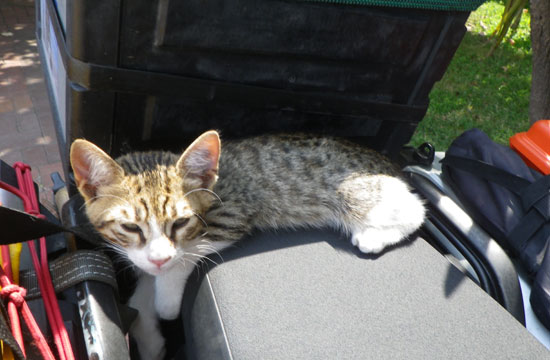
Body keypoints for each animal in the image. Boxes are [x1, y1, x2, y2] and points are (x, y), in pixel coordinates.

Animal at [70, 131, 426, 358]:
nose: (159, 259)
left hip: (357, 193)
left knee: (417, 211)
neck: (214, 184)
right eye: (130, 227)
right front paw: (150, 338)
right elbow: (144, 291)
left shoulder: (232, 214)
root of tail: (392, 166)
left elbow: (184, 256)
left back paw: (373, 235)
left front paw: (167, 301)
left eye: (181, 222)